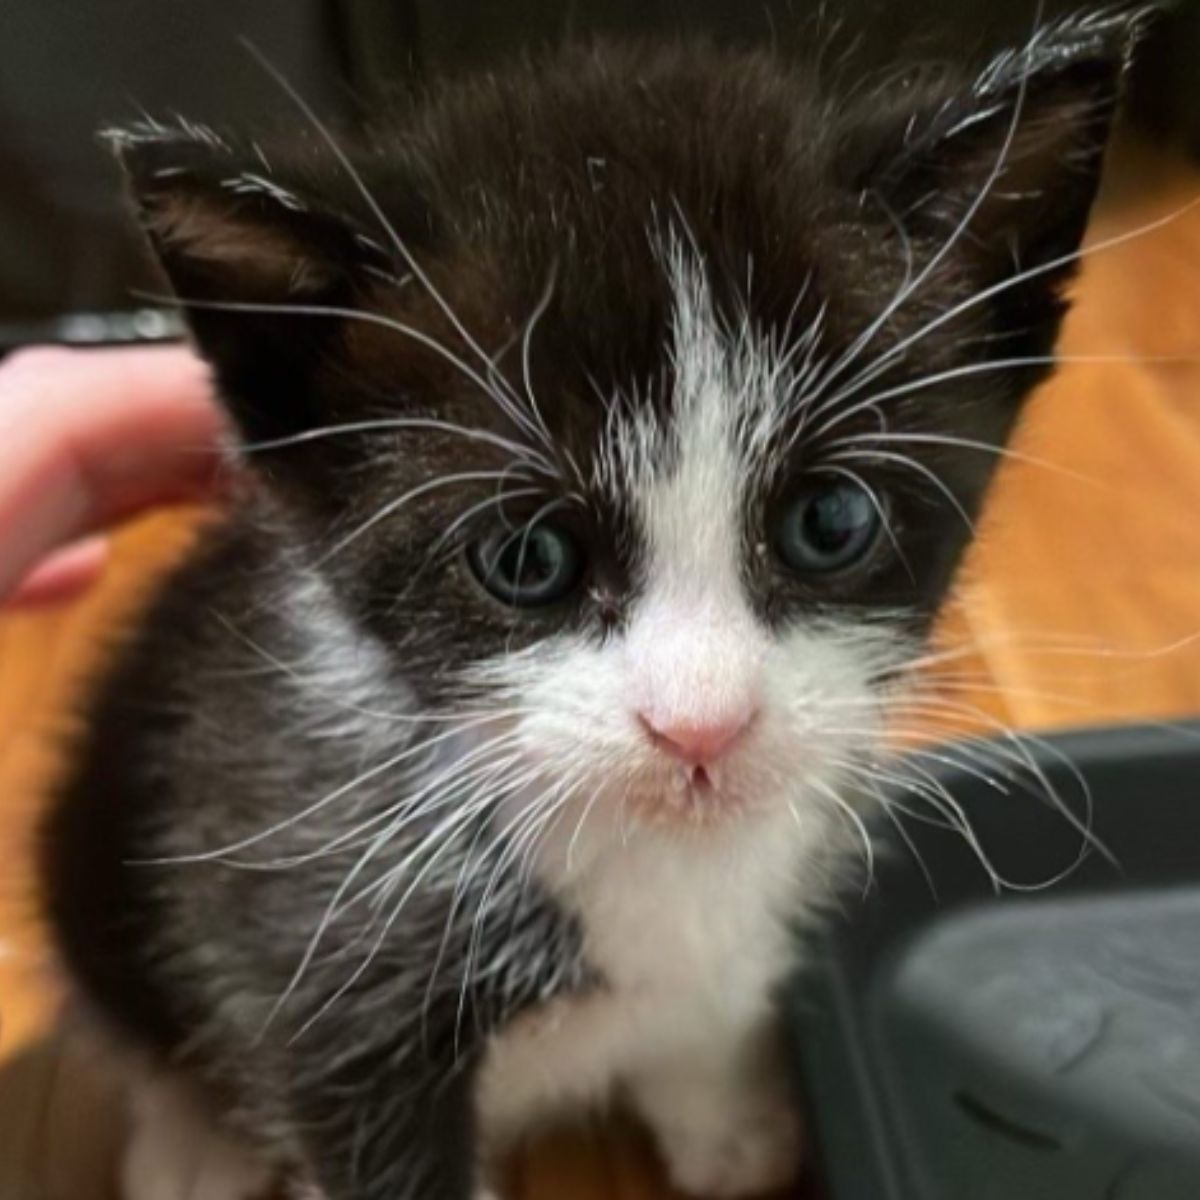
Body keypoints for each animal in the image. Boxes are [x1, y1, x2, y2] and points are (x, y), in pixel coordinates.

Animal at [42, 11, 1137, 1200]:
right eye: (528, 557)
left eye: (830, 522)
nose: (701, 726)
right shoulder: (314, 943)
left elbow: (705, 1006)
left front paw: (729, 1125)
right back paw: (192, 1146)